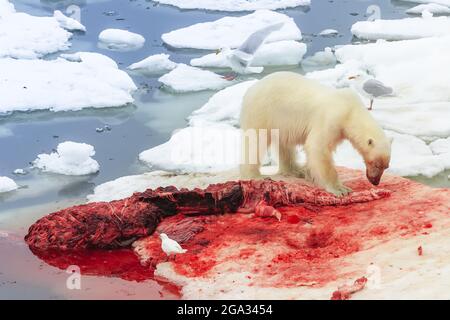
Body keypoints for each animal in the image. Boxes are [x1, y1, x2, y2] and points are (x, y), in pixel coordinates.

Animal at [239, 71, 390, 196]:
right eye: (376, 164)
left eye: (386, 166)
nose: (375, 182)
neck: (351, 110)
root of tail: (250, 89)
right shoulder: (331, 119)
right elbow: (317, 147)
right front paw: (340, 189)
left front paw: (308, 173)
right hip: (262, 111)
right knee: (256, 141)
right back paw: (254, 175)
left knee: (285, 145)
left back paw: (296, 171)